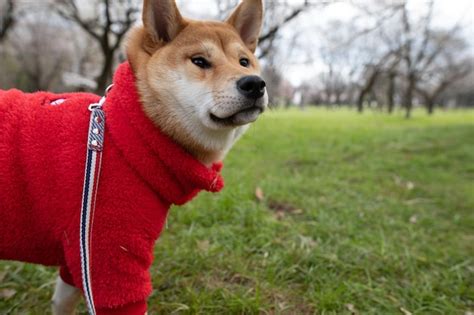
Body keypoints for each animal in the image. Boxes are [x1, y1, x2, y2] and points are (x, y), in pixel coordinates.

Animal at [0, 0, 266, 315]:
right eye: (200, 61)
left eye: (244, 62)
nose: (255, 83)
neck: (127, 133)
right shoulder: (110, 258)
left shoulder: (81, 254)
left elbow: (64, 299)